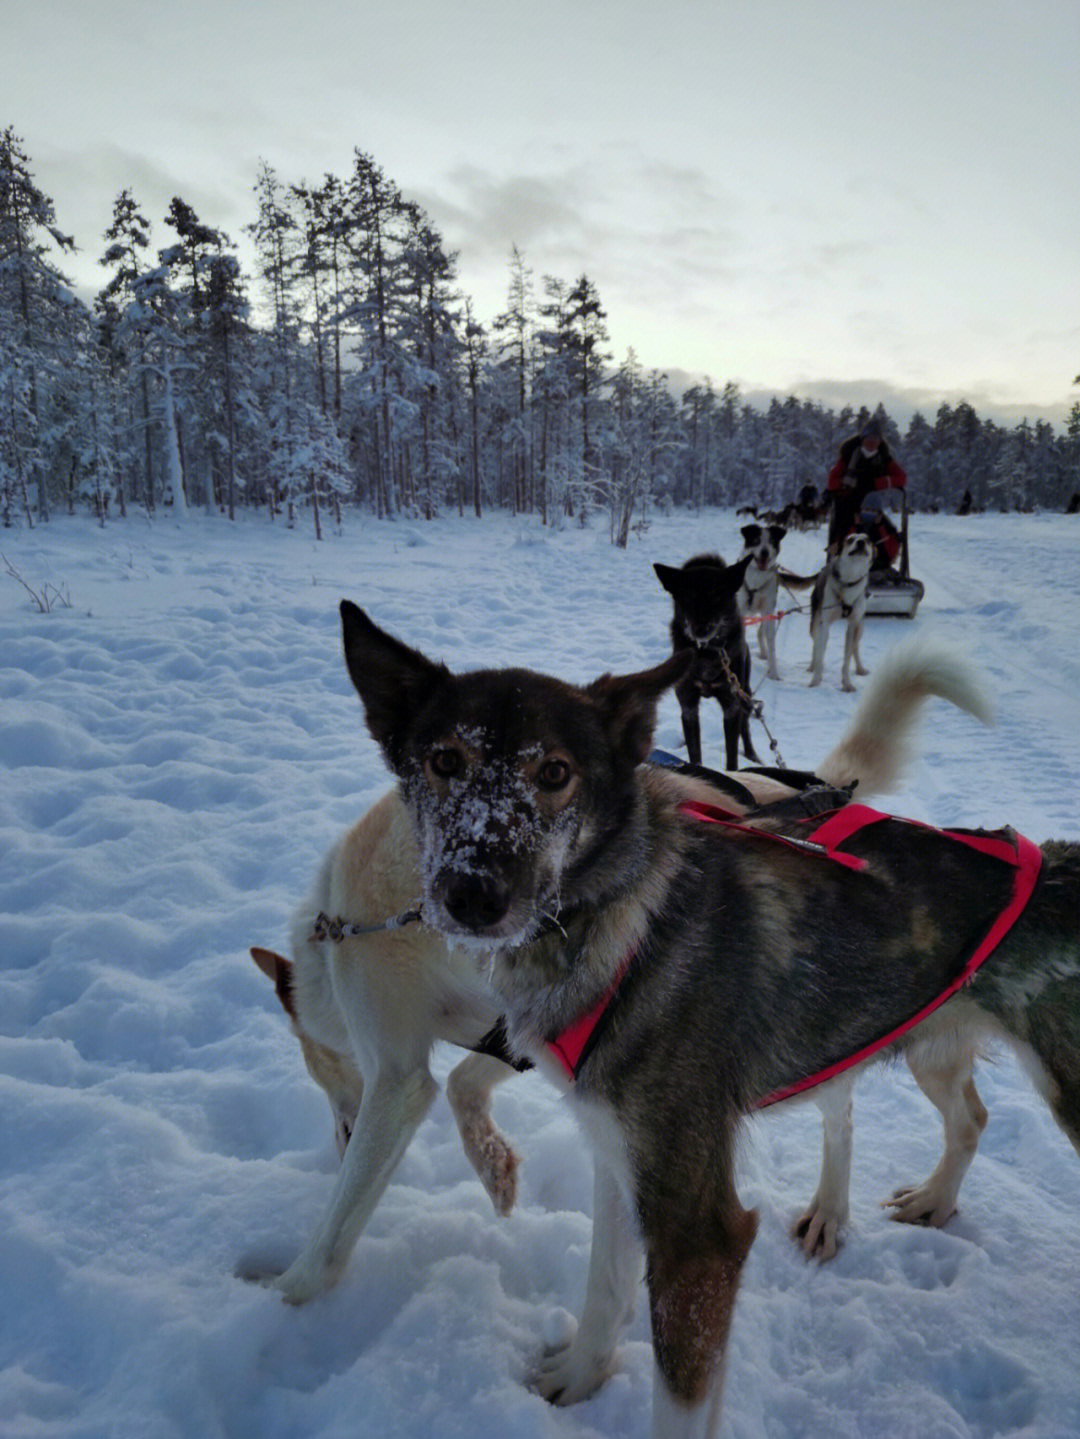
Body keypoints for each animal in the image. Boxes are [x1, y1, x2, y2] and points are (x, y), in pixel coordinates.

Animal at [650, 552, 759, 771]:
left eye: (718, 595)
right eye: (687, 596)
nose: (700, 629)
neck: (708, 652)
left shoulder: (731, 705)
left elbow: (732, 756)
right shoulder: (688, 705)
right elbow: (694, 752)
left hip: (745, 692)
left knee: (745, 727)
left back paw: (752, 755)